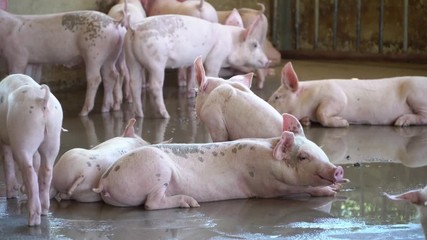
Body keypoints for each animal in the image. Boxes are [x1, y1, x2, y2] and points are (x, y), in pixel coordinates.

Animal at [0, 74, 63, 226]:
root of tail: (42, 100)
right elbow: (37, 161)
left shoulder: (4, 139)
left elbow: (7, 159)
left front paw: (12, 195)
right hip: (53, 134)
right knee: (46, 170)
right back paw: (44, 211)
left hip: (23, 134)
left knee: (29, 172)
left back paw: (32, 221)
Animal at [93, 112, 348, 208]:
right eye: (303, 157)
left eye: (320, 150)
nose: (337, 170)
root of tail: (105, 180)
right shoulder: (266, 187)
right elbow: (300, 189)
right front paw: (330, 191)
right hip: (157, 171)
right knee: (151, 203)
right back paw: (191, 203)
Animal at [123, 11, 270, 118]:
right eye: (255, 45)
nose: (268, 61)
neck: (231, 43)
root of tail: (135, 28)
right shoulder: (215, 57)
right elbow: (212, 72)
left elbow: (192, 75)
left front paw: (191, 94)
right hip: (156, 61)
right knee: (154, 86)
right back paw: (166, 115)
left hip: (131, 58)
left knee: (134, 84)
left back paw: (139, 115)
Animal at [270, 62, 427, 128]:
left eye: (277, 97)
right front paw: (306, 121)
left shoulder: (335, 96)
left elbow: (322, 112)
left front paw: (344, 123)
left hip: (416, 95)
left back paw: (400, 122)